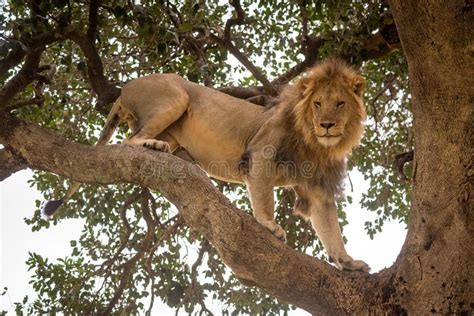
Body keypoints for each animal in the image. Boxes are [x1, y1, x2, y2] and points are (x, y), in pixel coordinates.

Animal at [43, 58, 370, 272]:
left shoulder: (317, 187)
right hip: (175, 97)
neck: (314, 141)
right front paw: (268, 225)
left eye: (340, 103)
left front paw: (347, 261)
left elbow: (330, 228)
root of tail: (125, 88)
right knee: (128, 140)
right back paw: (154, 146)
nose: (327, 125)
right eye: (317, 104)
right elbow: (265, 198)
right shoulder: (261, 152)